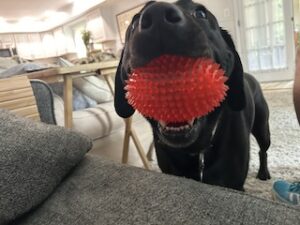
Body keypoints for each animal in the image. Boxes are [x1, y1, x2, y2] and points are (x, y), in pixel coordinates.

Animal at [113, 0, 270, 191]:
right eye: (134, 22)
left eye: (201, 13)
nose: (157, 14)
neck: (194, 151)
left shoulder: (234, 184)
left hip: (262, 128)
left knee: (263, 150)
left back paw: (263, 173)